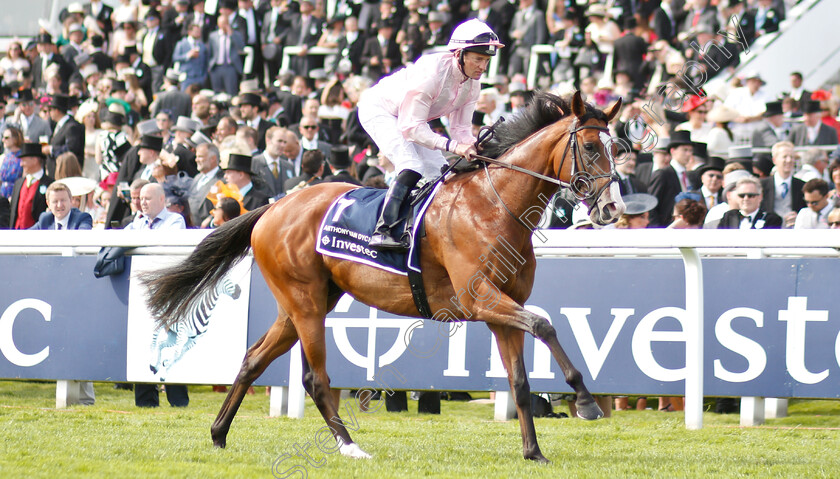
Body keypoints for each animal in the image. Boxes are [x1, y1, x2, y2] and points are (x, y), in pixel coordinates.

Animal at [143, 92, 624, 464]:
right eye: (591, 147)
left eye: (617, 148)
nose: (612, 208)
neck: (494, 205)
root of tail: (273, 206)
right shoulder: (481, 299)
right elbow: (545, 324)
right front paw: (585, 401)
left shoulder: (502, 310)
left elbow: (520, 383)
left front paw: (533, 451)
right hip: (306, 303)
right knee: (315, 379)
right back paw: (350, 447)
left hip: (300, 304)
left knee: (252, 359)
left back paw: (219, 433)